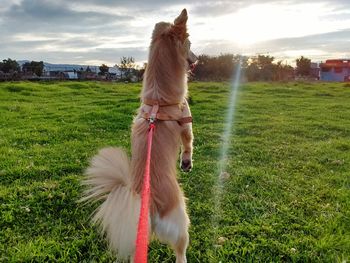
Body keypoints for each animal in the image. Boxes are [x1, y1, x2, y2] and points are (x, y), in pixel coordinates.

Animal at [81, 8, 197, 263]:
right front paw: (186, 163)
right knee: (180, 251)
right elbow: (188, 145)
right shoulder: (186, 121)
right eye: (190, 44)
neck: (158, 99)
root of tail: (145, 204)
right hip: (181, 220)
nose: (197, 59)